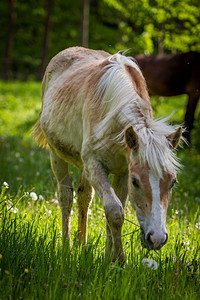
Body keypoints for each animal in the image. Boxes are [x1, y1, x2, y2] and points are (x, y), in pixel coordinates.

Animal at [31, 47, 183, 262]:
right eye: (136, 181)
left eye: (173, 182)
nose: (157, 239)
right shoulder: (95, 165)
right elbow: (115, 212)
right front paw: (119, 260)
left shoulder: (121, 172)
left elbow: (112, 212)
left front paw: (108, 259)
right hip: (57, 155)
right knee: (66, 195)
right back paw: (67, 247)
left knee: (84, 196)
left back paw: (81, 245)